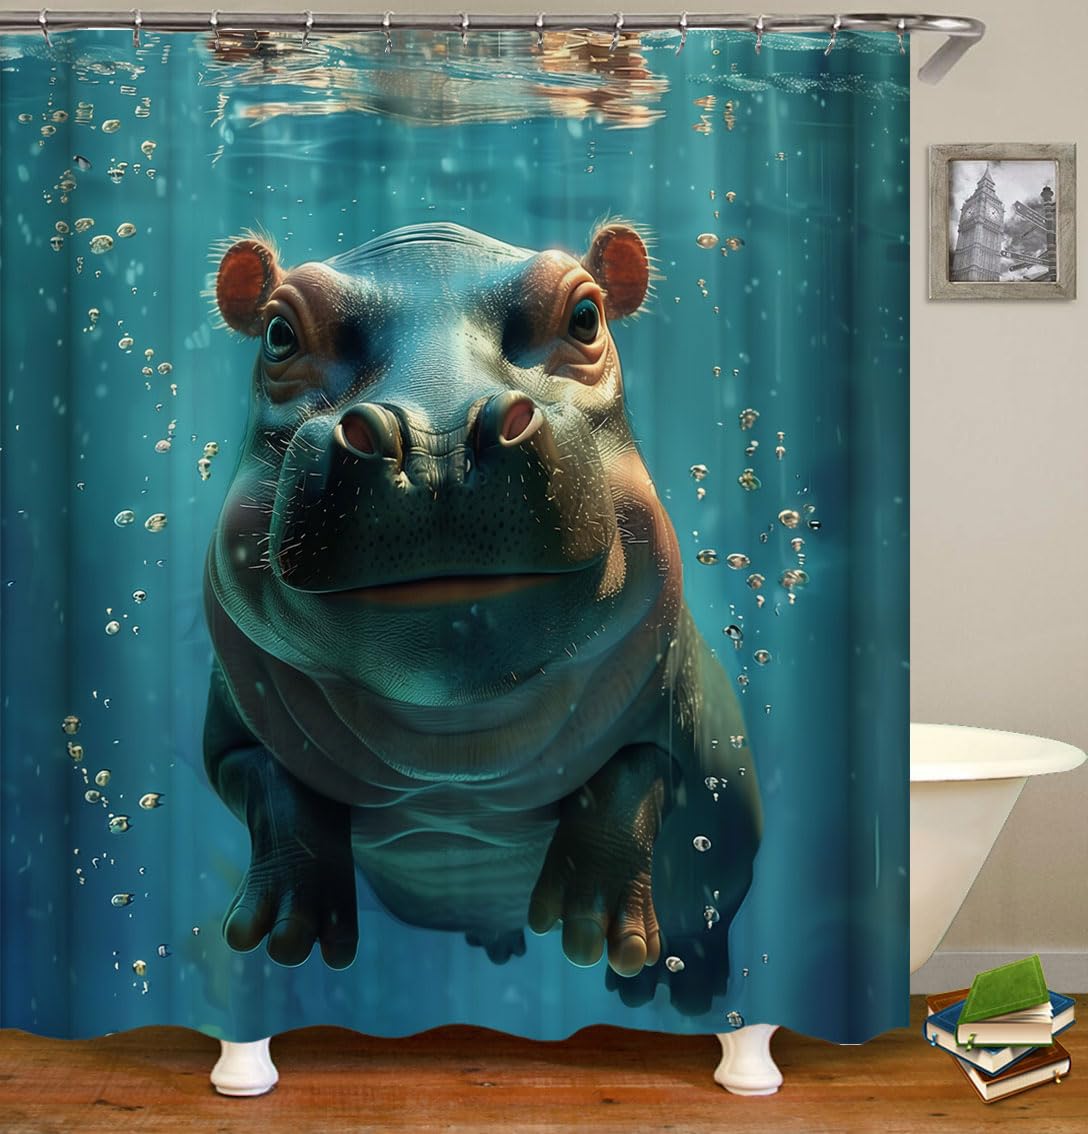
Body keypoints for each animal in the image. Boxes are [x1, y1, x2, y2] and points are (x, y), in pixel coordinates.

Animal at [202, 220, 761, 1014]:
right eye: (279, 333)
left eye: (585, 317)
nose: (435, 439)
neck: (454, 750)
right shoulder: (228, 736)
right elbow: (271, 787)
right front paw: (290, 931)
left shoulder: (685, 717)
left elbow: (635, 774)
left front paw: (596, 932)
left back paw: (675, 988)